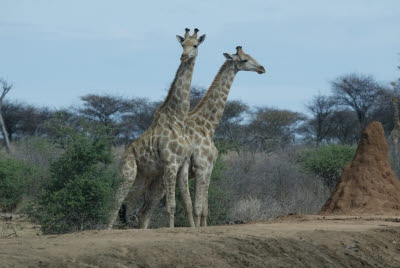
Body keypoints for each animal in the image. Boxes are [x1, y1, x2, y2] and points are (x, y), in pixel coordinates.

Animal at [108, 28, 205, 228]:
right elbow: (171, 206)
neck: (179, 118)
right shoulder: (170, 163)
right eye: (182, 44)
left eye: (195, 45)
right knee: (113, 207)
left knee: (129, 209)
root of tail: (124, 154)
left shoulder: (183, 164)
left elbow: (188, 203)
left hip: (142, 178)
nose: (184, 56)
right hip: (128, 174)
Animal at [125, 47, 268, 227]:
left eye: (250, 55)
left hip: (155, 181)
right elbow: (198, 209)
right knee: (141, 210)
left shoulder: (209, 169)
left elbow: (205, 209)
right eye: (244, 60)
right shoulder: (201, 167)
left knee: (143, 213)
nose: (262, 68)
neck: (207, 125)